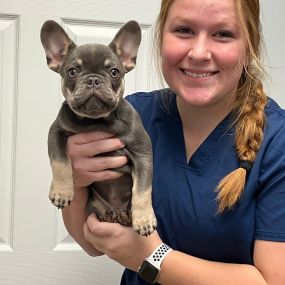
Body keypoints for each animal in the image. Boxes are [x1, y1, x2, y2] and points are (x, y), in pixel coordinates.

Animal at [39, 18, 155, 234]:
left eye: (114, 72)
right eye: (72, 72)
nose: (93, 79)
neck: (97, 121)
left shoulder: (142, 153)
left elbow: (143, 189)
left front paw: (144, 219)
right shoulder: (56, 131)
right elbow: (60, 161)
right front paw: (62, 190)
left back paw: (127, 217)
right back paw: (111, 216)